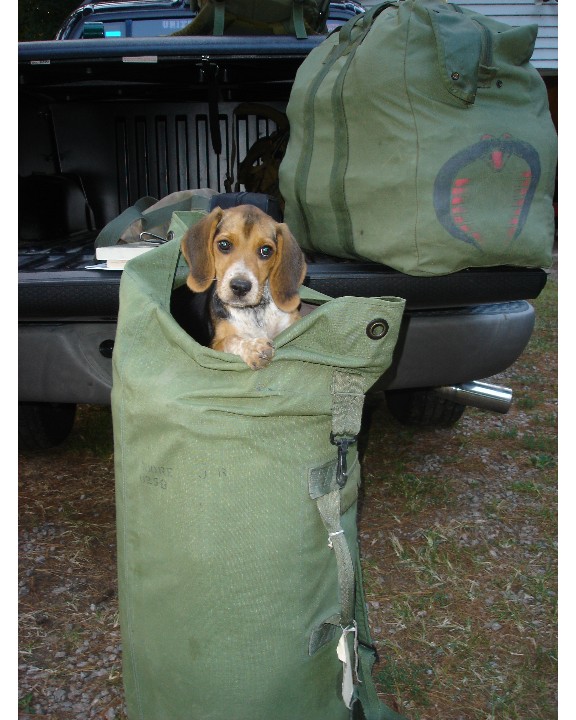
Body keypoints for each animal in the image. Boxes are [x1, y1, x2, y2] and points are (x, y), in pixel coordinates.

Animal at [181, 204, 306, 368]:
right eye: (224, 245)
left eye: (266, 250)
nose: (240, 287)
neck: (254, 311)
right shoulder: (214, 347)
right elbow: (231, 340)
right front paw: (253, 348)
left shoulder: (292, 323)